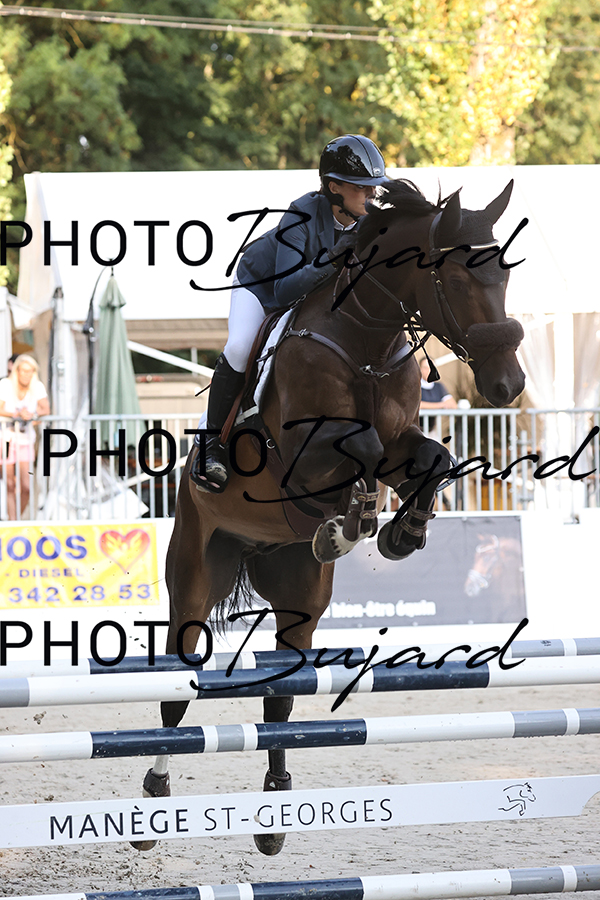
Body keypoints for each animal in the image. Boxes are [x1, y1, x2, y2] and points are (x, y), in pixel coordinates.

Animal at [132, 177, 525, 854]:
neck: (365, 343)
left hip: (300, 600)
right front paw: (352, 520)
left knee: (281, 697)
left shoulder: (400, 443)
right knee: (179, 689)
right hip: (193, 578)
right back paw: (155, 795)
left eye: (503, 272)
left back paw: (275, 812)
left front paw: (398, 533)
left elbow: (433, 458)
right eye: (457, 277)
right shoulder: (302, 452)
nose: (508, 385)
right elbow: (358, 448)